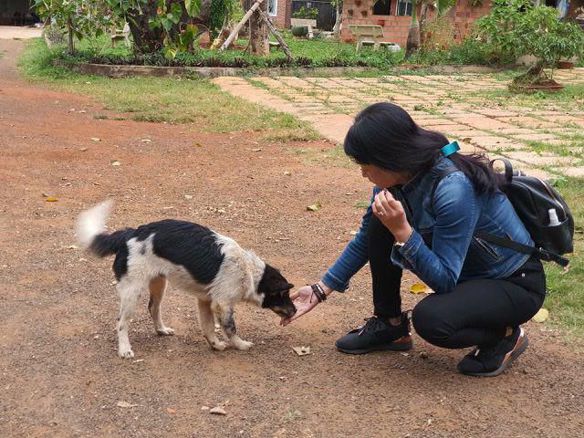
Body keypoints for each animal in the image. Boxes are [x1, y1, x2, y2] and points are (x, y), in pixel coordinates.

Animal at [76, 202, 296, 360]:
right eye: (284, 294)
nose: (294, 310)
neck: (250, 271)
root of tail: (130, 233)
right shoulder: (222, 304)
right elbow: (230, 327)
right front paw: (241, 345)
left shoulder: (206, 301)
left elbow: (208, 327)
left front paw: (215, 345)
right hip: (133, 291)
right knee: (121, 322)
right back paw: (124, 350)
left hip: (158, 284)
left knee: (153, 308)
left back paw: (161, 330)